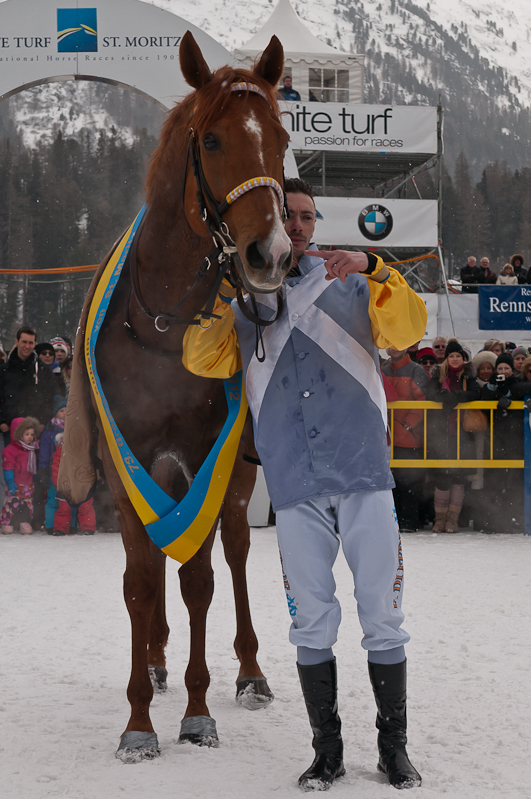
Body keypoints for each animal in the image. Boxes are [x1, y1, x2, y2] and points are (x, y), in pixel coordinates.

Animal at [60, 34, 294, 764]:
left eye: (281, 137)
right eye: (212, 139)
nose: (270, 252)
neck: (162, 325)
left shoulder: (206, 460)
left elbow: (199, 579)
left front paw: (197, 711)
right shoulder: (124, 461)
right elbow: (141, 582)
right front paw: (139, 718)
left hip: (238, 475)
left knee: (237, 548)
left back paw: (247, 671)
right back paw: (158, 660)